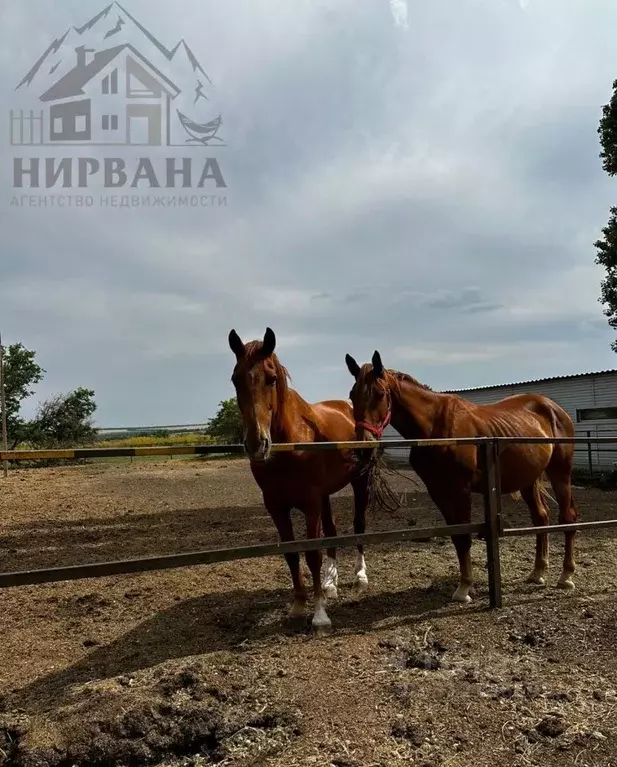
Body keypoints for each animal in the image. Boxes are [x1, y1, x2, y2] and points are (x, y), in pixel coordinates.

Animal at [227, 328, 368, 632]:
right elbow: (292, 554)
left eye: (271, 378)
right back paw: (330, 583)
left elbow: (312, 555)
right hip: (325, 496)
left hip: (360, 482)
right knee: (332, 531)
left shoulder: (310, 503)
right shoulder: (276, 506)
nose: (257, 444)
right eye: (235, 379)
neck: (292, 443)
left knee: (359, 525)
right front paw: (298, 606)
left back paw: (360, 577)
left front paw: (319, 615)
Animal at [344, 352, 576, 604]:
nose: (363, 448)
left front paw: (464, 588)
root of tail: (554, 409)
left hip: (561, 473)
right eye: (351, 395)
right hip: (528, 479)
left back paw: (566, 576)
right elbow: (457, 536)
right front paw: (466, 585)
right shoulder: (438, 491)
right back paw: (538, 572)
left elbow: (465, 536)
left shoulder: (460, 489)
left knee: (568, 517)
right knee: (541, 517)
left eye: (380, 394)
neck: (435, 427)